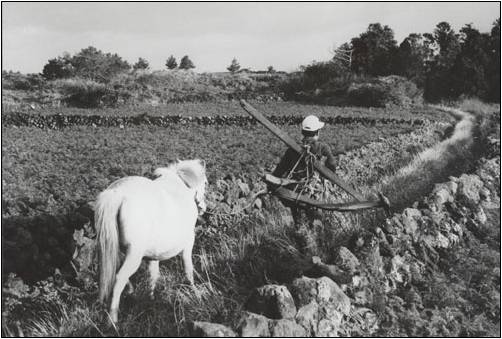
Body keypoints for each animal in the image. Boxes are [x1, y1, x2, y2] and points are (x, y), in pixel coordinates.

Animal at [95, 159, 207, 324]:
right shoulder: (188, 244)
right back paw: (112, 319)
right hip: (133, 254)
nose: (203, 207)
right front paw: (194, 291)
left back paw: (130, 292)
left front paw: (151, 299)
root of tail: (117, 194)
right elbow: (188, 269)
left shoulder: (153, 255)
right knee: (119, 278)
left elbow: (153, 275)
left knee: (115, 272)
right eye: (205, 183)